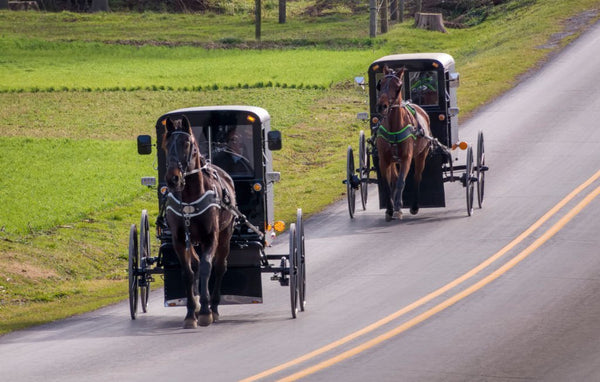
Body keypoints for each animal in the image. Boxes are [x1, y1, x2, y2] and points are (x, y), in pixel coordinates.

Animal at [162, 116, 237, 328]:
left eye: (187, 144)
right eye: (166, 144)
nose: (173, 178)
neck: (189, 197)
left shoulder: (210, 237)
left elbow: (206, 268)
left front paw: (205, 311)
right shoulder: (179, 240)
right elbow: (188, 272)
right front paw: (190, 313)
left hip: (225, 234)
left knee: (219, 267)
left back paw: (214, 307)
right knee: (195, 264)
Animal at [376, 66, 432, 221]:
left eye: (397, 86)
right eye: (381, 84)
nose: (382, 106)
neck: (394, 128)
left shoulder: (406, 158)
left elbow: (402, 182)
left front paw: (397, 209)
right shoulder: (384, 159)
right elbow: (387, 184)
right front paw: (389, 209)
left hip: (421, 155)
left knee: (417, 176)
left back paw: (414, 206)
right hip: (394, 160)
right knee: (394, 179)